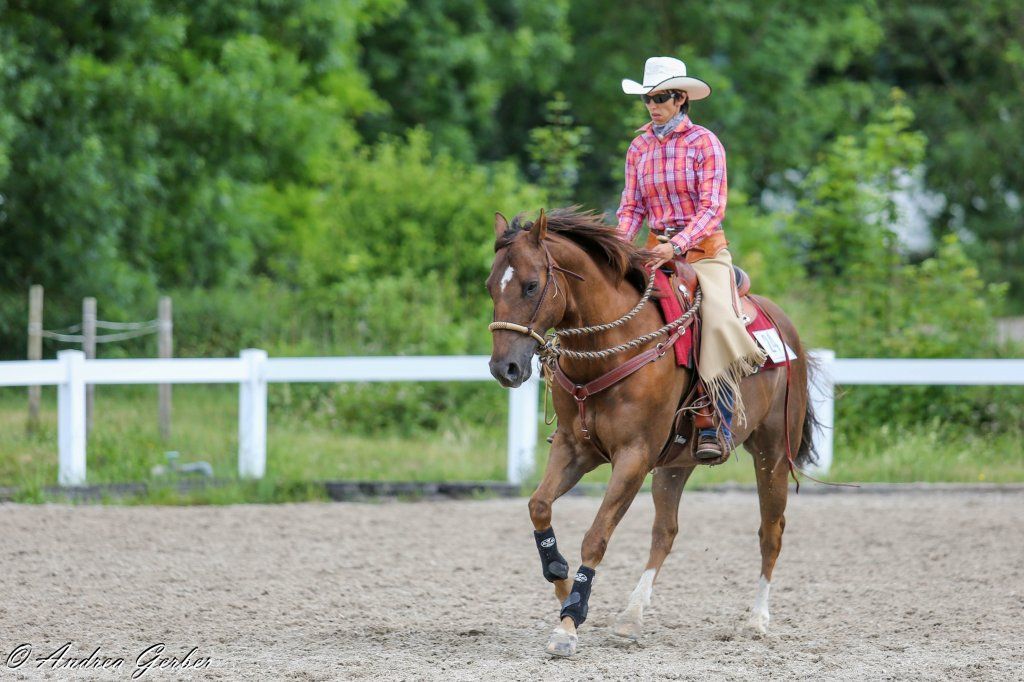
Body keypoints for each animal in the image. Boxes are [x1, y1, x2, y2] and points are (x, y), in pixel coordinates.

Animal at [486, 207, 817, 657]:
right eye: (490, 286)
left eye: (531, 284)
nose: (505, 368)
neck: (609, 348)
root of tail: (784, 327)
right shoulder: (575, 448)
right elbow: (539, 506)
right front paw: (562, 580)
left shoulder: (633, 457)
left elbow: (597, 536)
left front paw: (570, 621)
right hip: (676, 464)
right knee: (665, 533)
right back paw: (631, 617)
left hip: (772, 452)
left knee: (771, 530)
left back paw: (757, 620)